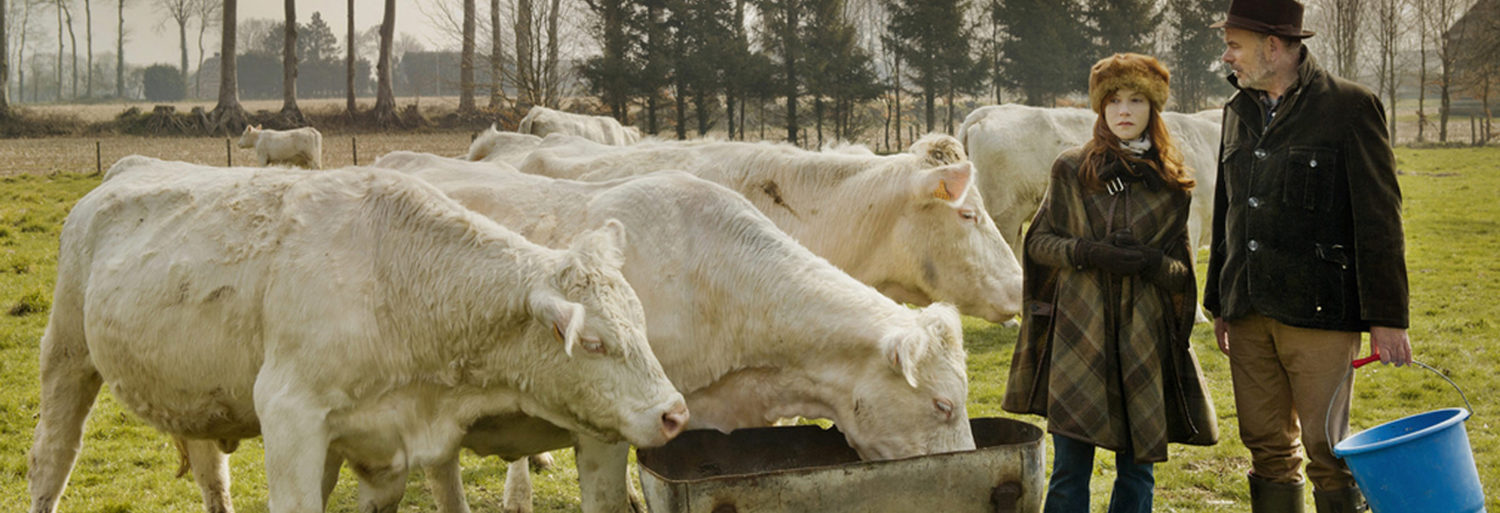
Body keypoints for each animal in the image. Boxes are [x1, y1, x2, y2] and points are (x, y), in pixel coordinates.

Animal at [29, 156, 687, 513]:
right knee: (51, 459)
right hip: (66, 354)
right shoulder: (289, 414)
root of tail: (130, 165)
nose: (674, 413)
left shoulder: (382, 450)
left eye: (640, 322)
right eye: (594, 343)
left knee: (210, 472)